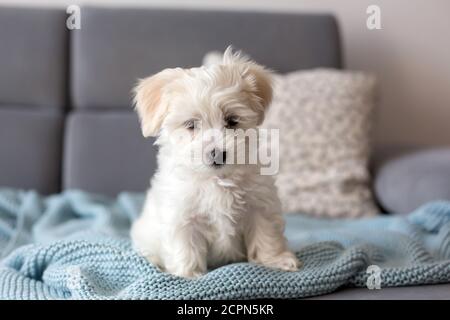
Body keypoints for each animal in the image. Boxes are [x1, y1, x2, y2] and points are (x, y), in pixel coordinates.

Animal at [131, 47, 298, 278]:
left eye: (232, 120)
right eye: (191, 124)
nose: (217, 153)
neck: (216, 179)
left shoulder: (260, 205)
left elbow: (266, 235)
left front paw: (276, 261)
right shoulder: (182, 216)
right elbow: (185, 247)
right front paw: (187, 275)